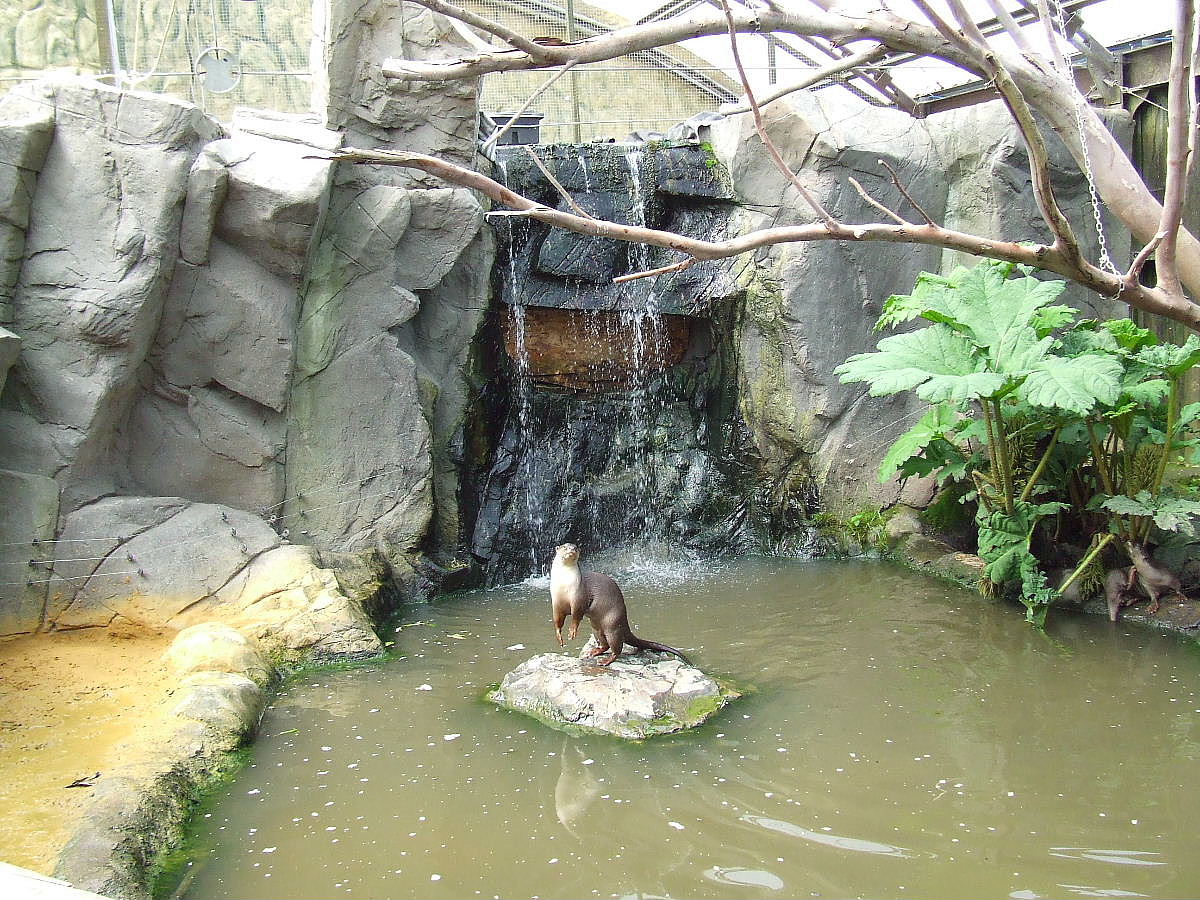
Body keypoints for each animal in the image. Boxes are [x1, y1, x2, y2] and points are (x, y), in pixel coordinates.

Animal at [549, 543, 690, 666]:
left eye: (576, 547)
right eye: (565, 547)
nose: (572, 549)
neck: (564, 585)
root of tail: (624, 622)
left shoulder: (579, 599)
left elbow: (576, 616)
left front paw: (572, 632)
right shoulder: (556, 602)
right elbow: (557, 620)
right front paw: (559, 637)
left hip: (612, 626)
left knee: (617, 648)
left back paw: (605, 661)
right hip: (596, 628)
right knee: (605, 644)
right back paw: (594, 652)